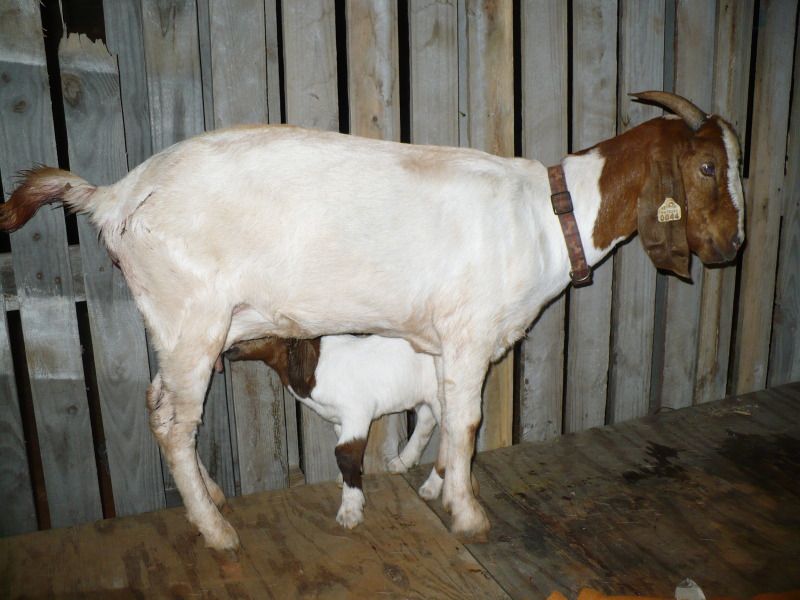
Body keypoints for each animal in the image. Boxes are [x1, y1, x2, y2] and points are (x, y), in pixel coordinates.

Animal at [224, 334, 442, 528]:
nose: (225, 350)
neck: (313, 365)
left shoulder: (357, 412)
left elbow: (344, 454)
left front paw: (350, 510)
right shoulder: (339, 419)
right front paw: (346, 479)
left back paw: (430, 488)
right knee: (426, 418)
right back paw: (403, 462)